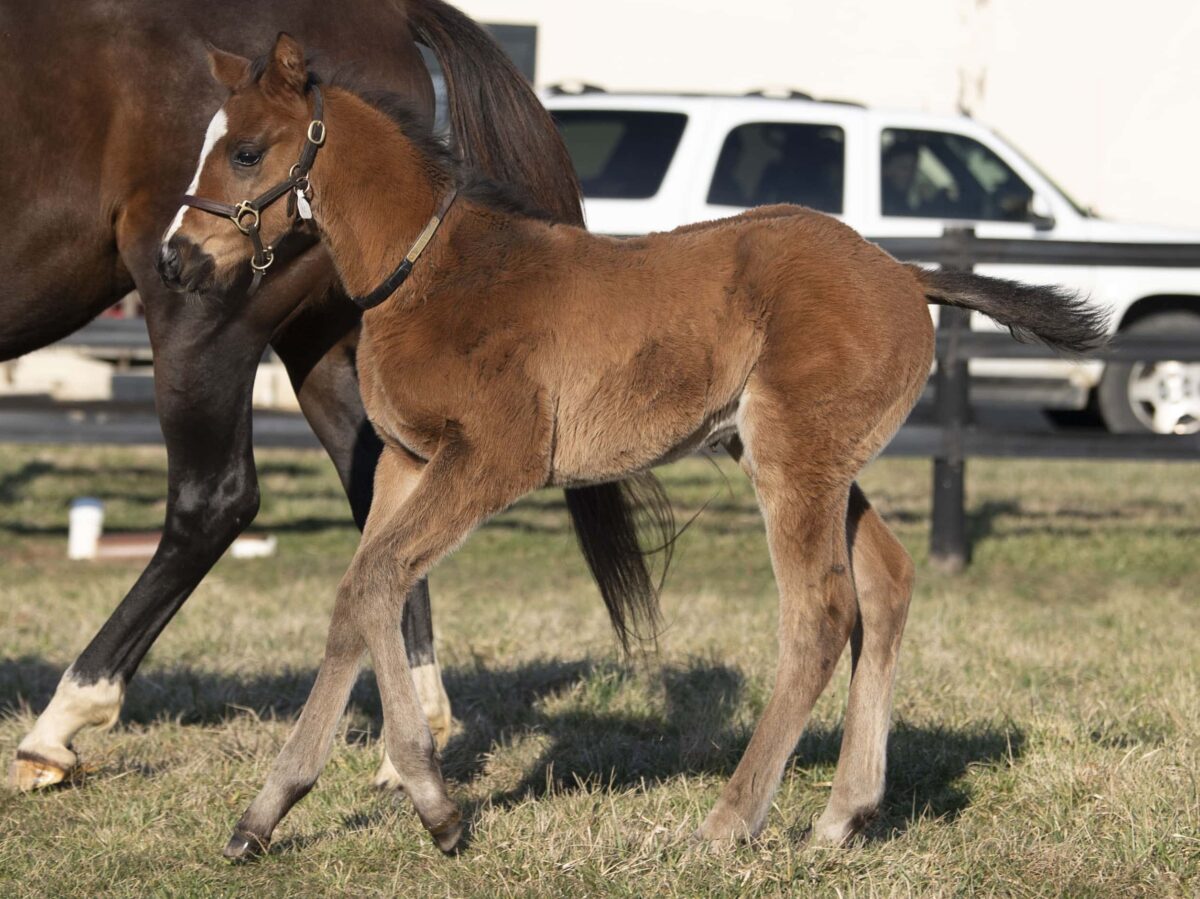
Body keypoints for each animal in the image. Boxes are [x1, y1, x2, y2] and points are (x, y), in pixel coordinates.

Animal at [2, 0, 657, 787]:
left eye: (246, 153)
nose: (175, 258)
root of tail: (393, 13)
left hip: (212, 324)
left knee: (214, 502)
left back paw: (59, 723)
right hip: (315, 340)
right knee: (380, 492)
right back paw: (412, 733)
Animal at [166, 36, 1104, 864]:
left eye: (246, 151)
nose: (177, 259)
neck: (431, 272)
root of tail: (906, 275)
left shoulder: (494, 459)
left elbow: (380, 582)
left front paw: (435, 805)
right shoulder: (405, 458)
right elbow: (355, 600)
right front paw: (265, 812)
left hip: (791, 458)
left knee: (822, 612)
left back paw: (730, 821)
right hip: (816, 460)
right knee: (886, 583)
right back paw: (843, 815)